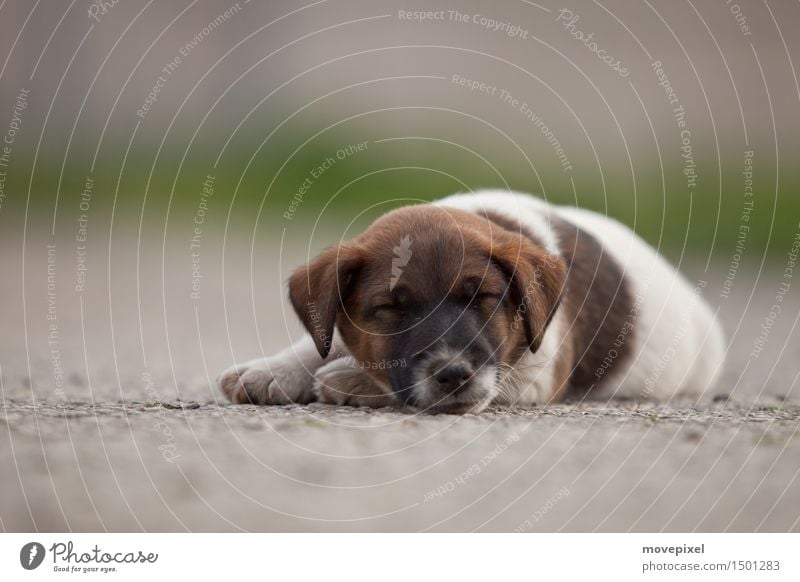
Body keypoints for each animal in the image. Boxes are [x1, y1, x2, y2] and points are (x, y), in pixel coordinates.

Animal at [217, 192, 724, 416]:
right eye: (391, 309)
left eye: (482, 299)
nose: (453, 374)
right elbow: (324, 341)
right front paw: (272, 371)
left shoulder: (535, 375)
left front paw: (346, 379)